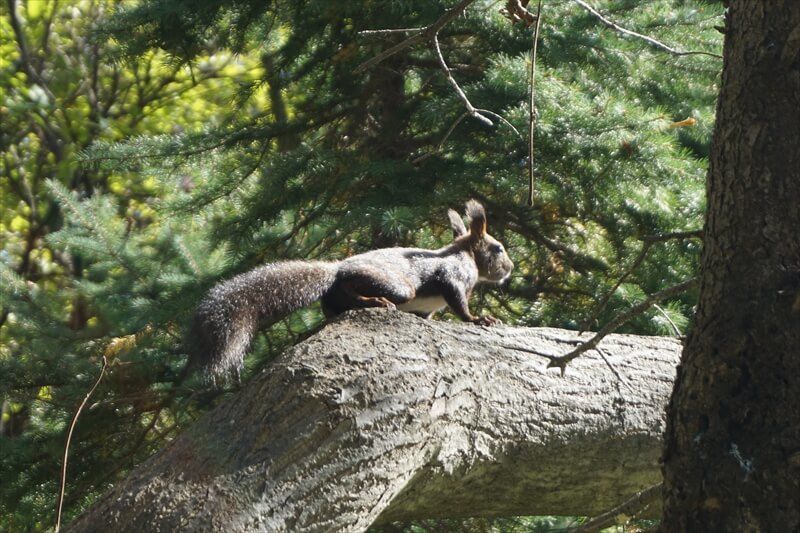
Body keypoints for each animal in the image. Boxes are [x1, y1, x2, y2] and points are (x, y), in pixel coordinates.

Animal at [188, 197, 512, 380]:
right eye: (497, 248)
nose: (509, 268)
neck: (463, 253)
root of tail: (336, 268)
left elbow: (428, 315)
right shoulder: (452, 276)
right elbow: (458, 302)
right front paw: (480, 319)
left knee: (332, 303)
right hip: (398, 286)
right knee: (352, 290)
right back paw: (376, 301)